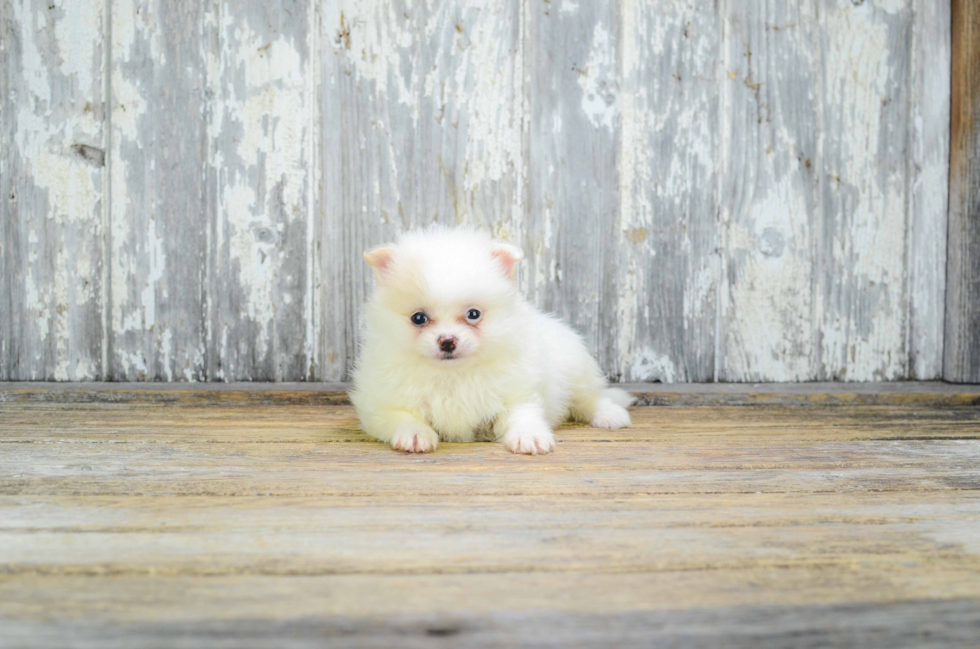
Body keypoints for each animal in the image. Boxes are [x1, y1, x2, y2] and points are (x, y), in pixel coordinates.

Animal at [352, 228, 636, 456]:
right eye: (418, 318)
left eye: (473, 314)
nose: (447, 341)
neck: (453, 375)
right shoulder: (381, 403)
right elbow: (401, 416)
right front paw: (415, 435)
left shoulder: (518, 392)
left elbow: (523, 414)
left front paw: (529, 437)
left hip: (576, 370)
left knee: (590, 398)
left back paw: (610, 415)